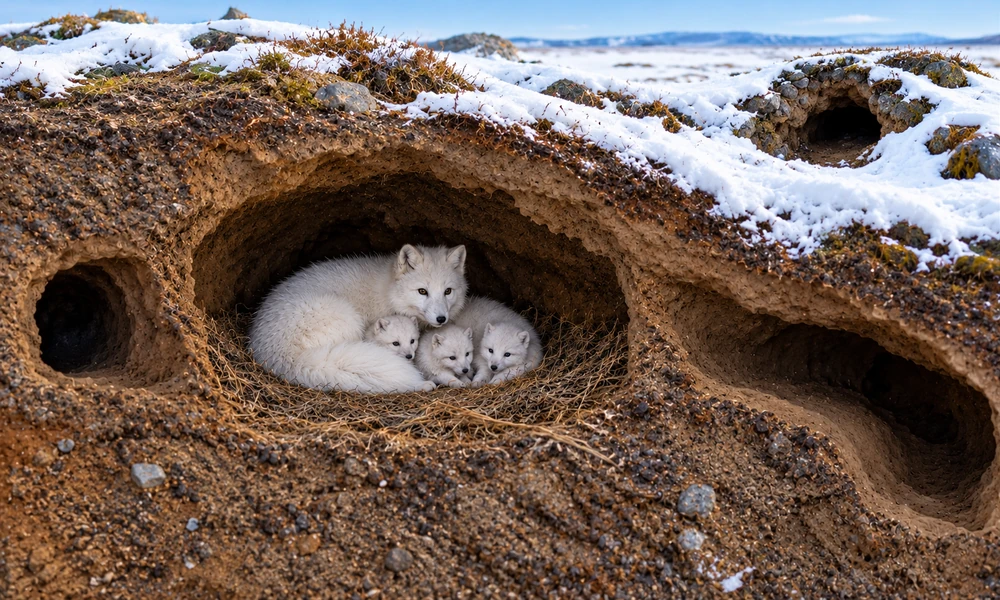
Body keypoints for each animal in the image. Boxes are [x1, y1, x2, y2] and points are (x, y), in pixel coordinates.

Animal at [248, 244, 468, 394]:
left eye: (448, 291)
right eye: (422, 291)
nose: (441, 318)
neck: (388, 290)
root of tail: (282, 355)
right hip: (350, 320)